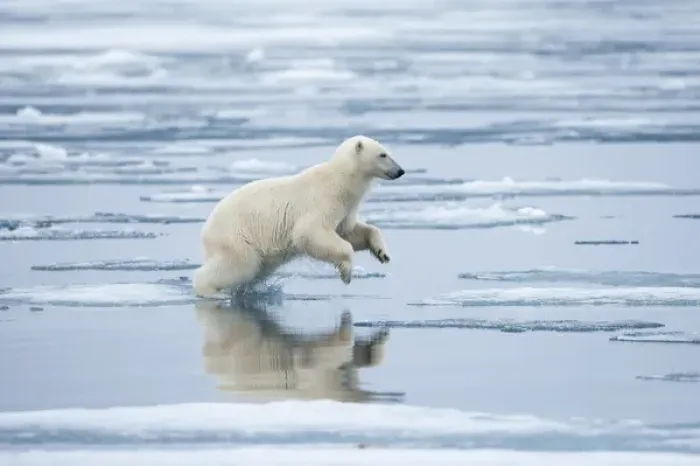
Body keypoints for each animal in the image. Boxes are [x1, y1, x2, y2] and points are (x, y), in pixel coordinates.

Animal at [193, 135, 405, 298]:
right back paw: (212, 292)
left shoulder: (345, 209)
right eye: (383, 154)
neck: (340, 181)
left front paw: (382, 253)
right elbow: (308, 233)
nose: (400, 171)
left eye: (388, 152)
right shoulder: (322, 202)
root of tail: (205, 231)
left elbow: (350, 231)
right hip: (237, 237)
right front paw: (346, 273)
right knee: (238, 265)